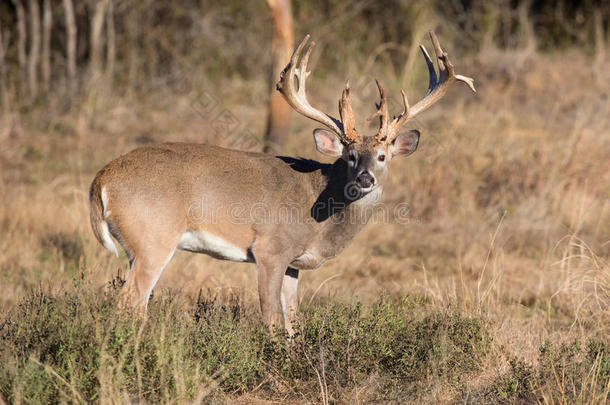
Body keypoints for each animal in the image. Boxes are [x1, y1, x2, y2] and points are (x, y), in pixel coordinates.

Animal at [89, 31, 476, 332]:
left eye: (382, 157)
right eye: (349, 155)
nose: (365, 178)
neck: (322, 214)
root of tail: (102, 179)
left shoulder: (293, 263)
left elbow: (294, 322)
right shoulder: (270, 249)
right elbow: (272, 320)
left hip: (136, 247)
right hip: (154, 238)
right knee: (129, 303)